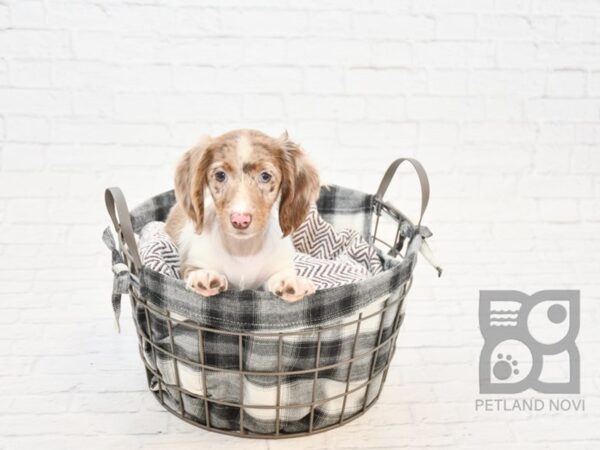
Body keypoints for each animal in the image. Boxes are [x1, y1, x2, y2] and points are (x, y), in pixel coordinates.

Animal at [164, 127, 322, 302]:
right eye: (220, 175)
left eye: (265, 176)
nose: (240, 220)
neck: (242, 250)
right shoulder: (192, 259)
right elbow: (194, 269)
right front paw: (204, 274)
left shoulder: (278, 266)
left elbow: (280, 274)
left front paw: (290, 281)